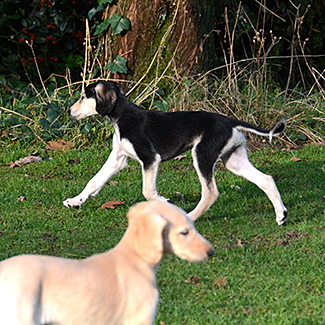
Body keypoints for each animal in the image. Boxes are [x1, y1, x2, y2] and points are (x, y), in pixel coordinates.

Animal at [63, 79, 286, 224]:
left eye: (83, 97)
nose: (69, 111)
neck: (123, 116)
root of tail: (231, 121)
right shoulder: (118, 158)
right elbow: (94, 181)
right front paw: (75, 202)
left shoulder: (150, 159)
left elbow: (148, 191)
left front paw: (166, 202)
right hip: (234, 161)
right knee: (266, 179)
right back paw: (281, 215)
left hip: (202, 155)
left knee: (210, 192)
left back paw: (189, 217)